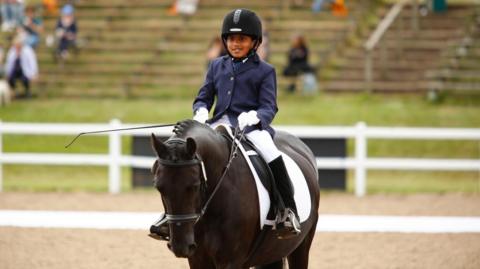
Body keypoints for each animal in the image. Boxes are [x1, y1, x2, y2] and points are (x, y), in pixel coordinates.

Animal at [152, 120, 320, 268]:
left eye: (194, 186)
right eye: (159, 187)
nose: (181, 247)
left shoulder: (232, 260)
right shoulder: (197, 259)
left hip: (302, 245)